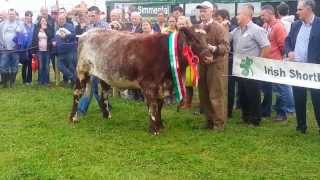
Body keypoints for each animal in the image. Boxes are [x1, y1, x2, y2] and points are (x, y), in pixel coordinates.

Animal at [71, 26, 214, 134]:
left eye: (207, 40)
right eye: (194, 40)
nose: (209, 58)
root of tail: (85, 34)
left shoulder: (161, 86)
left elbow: (159, 106)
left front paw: (160, 125)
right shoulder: (149, 85)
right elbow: (152, 106)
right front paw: (154, 129)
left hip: (104, 76)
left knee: (104, 95)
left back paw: (107, 116)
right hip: (82, 71)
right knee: (77, 93)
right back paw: (73, 118)